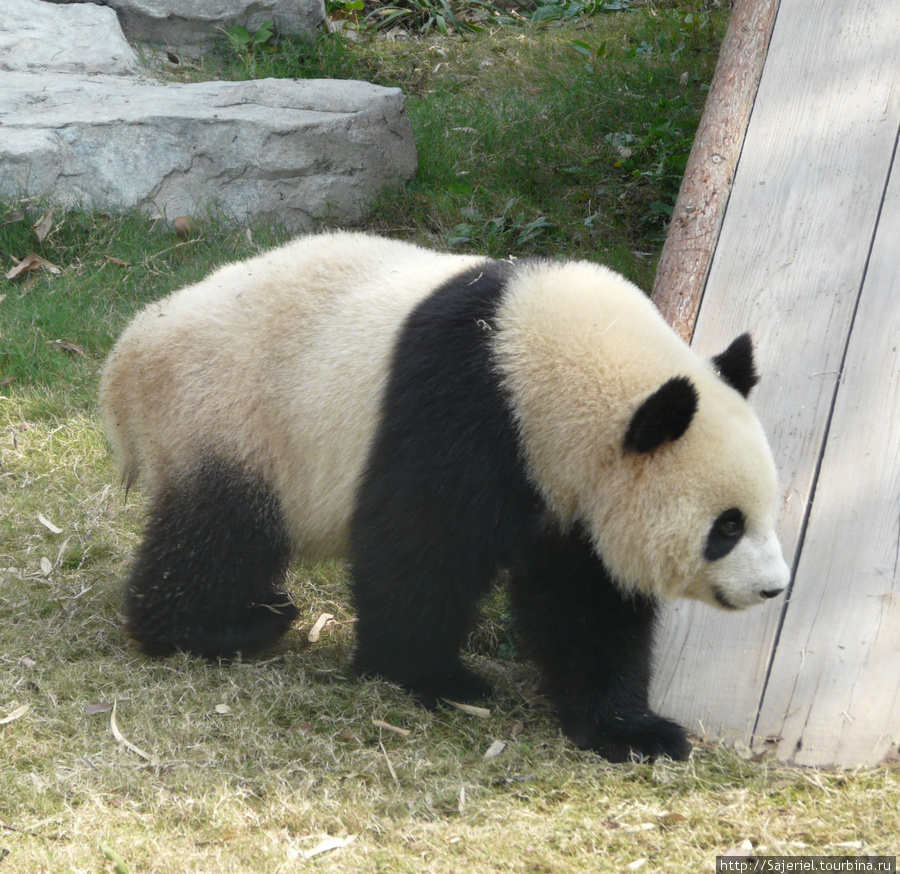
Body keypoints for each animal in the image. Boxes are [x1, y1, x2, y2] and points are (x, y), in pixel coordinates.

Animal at [100, 228, 788, 760]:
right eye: (726, 526)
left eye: (765, 514)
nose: (773, 588)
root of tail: (126, 354)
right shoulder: (464, 411)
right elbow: (418, 552)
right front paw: (439, 679)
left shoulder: (565, 489)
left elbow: (586, 602)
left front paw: (633, 731)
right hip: (229, 414)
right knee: (219, 535)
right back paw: (227, 626)